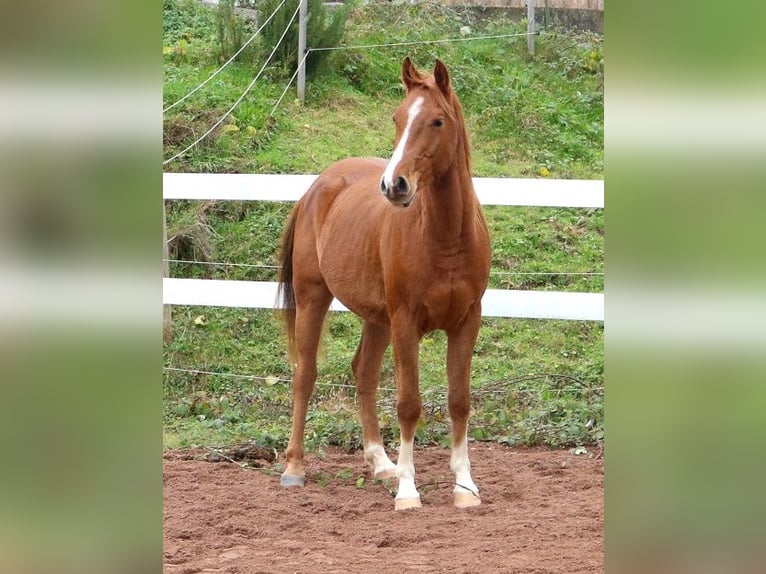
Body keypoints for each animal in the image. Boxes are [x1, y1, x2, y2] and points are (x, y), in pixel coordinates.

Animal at [276, 56, 492, 510]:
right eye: (397, 117)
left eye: (437, 121)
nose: (394, 185)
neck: (446, 239)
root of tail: (319, 185)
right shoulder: (406, 323)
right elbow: (409, 404)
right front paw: (408, 491)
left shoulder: (467, 321)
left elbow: (460, 401)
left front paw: (464, 487)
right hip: (314, 298)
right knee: (306, 374)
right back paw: (295, 468)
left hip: (377, 318)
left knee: (364, 373)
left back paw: (380, 462)